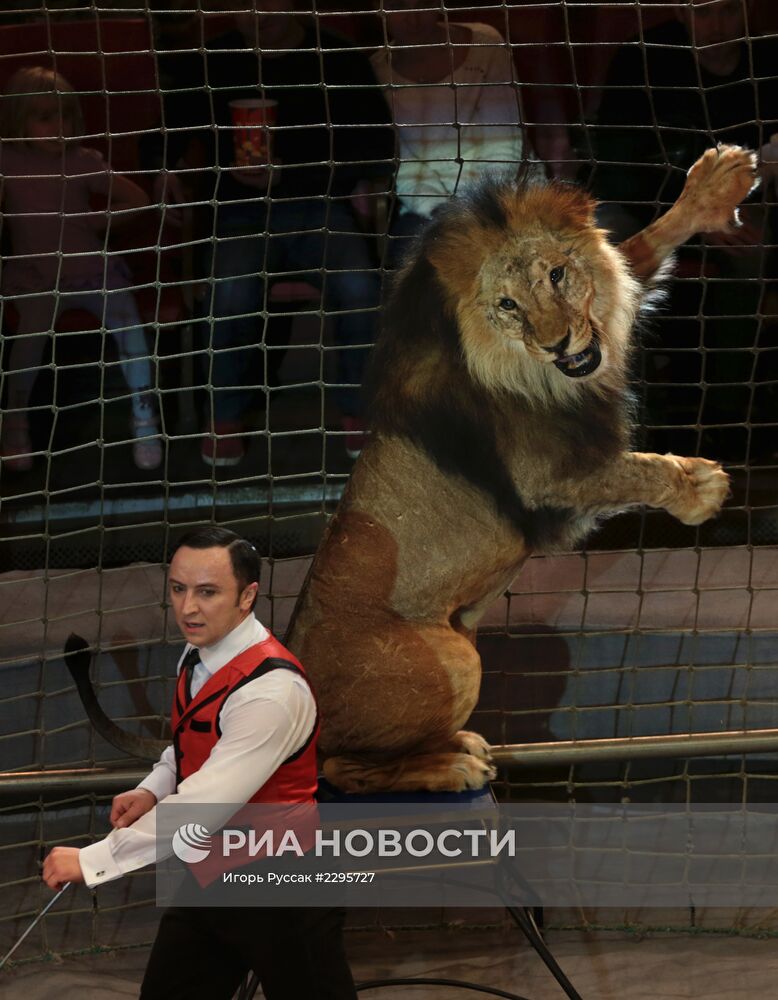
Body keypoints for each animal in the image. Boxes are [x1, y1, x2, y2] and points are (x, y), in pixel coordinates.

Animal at [286, 145, 756, 792]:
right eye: (507, 306)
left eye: (555, 275)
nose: (557, 344)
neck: (537, 370)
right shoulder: (549, 476)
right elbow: (638, 470)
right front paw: (699, 489)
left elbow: (638, 251)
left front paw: (714, 184)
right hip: (454, 658)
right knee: (343, 770)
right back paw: (452, 766)